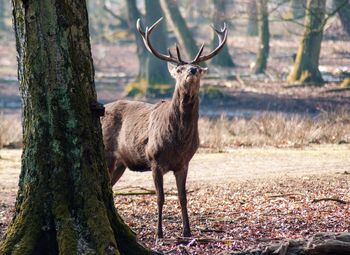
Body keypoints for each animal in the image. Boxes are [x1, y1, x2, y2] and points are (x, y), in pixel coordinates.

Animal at [101, 17, 227, 239]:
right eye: (179, 69)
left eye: (197, 68)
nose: (191, 70)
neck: (179, 140)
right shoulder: (154, 160)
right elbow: (160, 198)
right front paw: (159, 233)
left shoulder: (184, 163)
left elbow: (183, 197)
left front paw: (187, 231)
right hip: (107, 153)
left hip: (121, 163)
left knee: (112, 189)